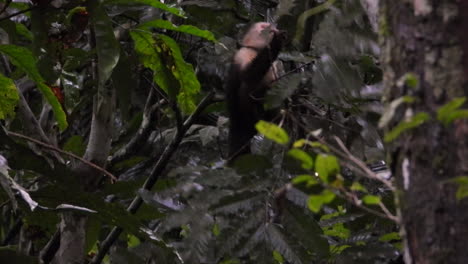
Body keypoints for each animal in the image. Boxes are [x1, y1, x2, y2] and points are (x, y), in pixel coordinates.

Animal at [227, 21, 286, 160]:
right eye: (263, 27)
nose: (273, 27)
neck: (256, 50)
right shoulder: (243, 53)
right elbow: (248, 76)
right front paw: (276, 43)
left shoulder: (275, 66)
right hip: (240, 118)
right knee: (246, 88)